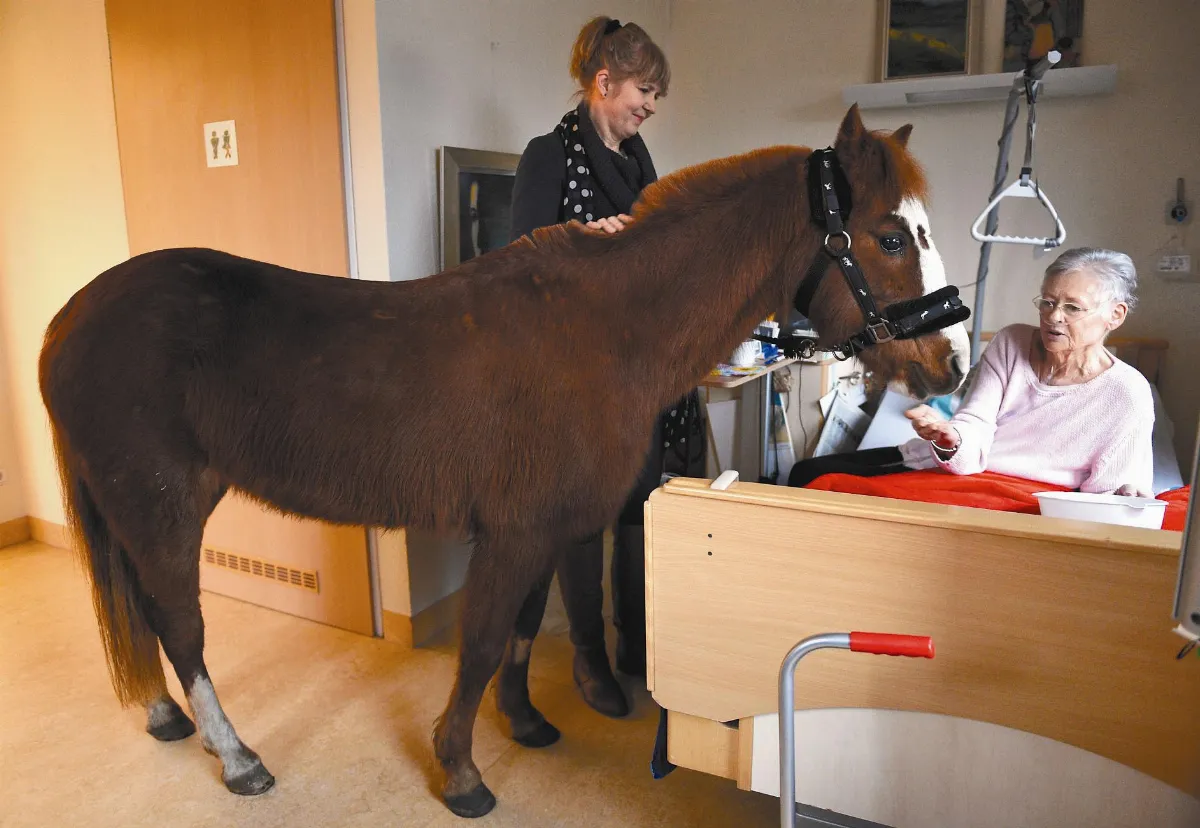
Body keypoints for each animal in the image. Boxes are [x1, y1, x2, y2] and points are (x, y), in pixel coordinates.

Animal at [38, 105, 969, 818]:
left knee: (140, 608)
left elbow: (521, 627)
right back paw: (236, 756)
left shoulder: (541, 529)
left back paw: (167, 717)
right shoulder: (517, 531)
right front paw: (460, 770)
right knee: (180, 623)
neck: (606, 331)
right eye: (891, 235)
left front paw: (523, 723)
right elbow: (484, 641)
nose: (951, 362)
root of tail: (70, 317)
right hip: (165, 506)